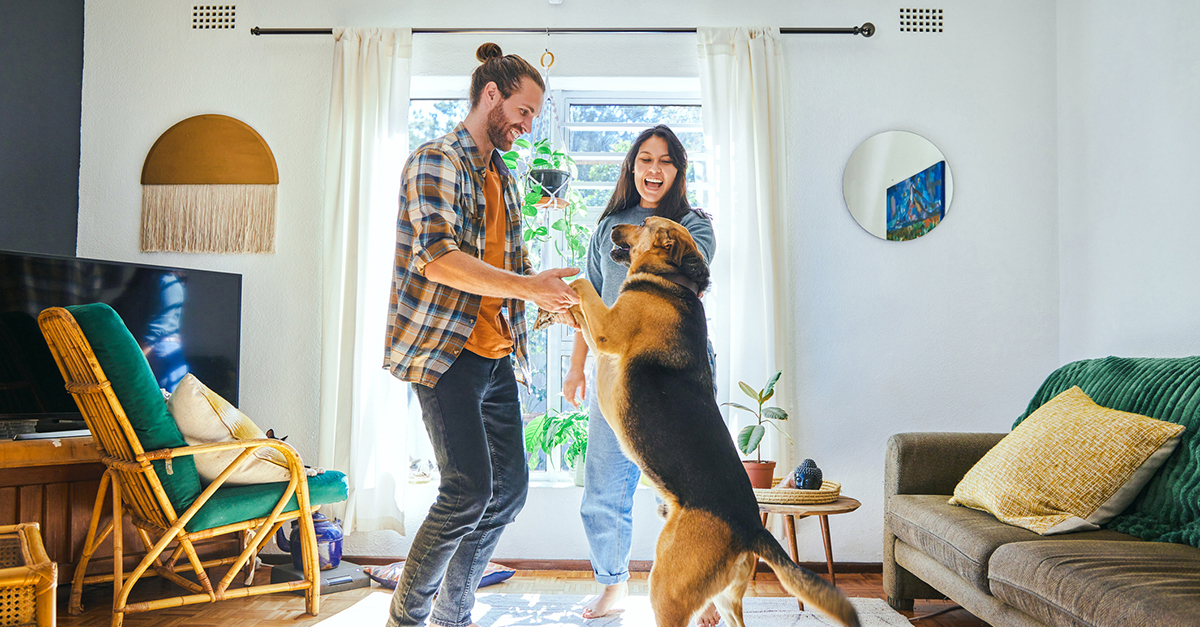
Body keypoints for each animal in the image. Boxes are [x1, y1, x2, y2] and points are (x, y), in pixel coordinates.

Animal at [556, 217, 859, 624]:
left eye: (644, 223)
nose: (610, 227)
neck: (674, 281)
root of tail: (751, 528)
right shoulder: (600, 335)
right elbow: (579, 309)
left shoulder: (608, 330)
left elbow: (582, 286)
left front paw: (562, 284)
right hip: (728, 598)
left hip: (665, 587)